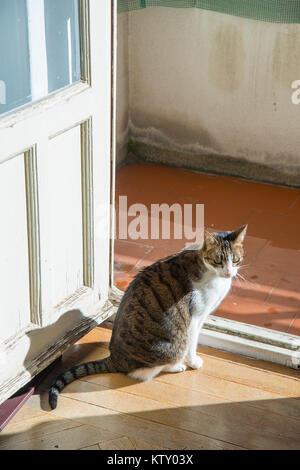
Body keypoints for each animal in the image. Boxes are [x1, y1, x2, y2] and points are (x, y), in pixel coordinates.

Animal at [48, 224, 246, 408]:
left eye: (236, 259)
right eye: (218, 259)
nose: (229, 272)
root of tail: (115, 359)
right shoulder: (196, 317)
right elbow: (193, 344)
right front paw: (194, 362)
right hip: (173, 343)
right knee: (144, 372)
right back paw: (177, 366)